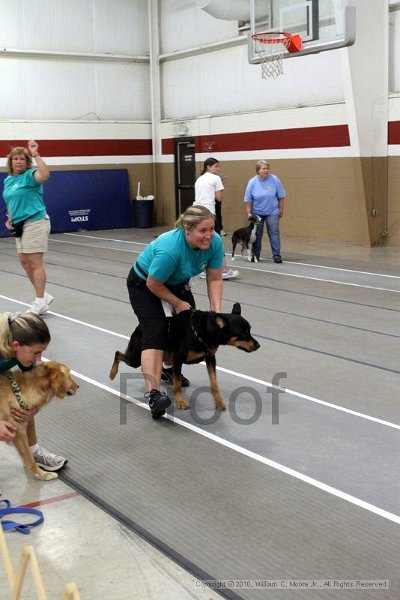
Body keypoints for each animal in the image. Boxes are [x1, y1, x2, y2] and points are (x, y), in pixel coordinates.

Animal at [109, 304, 260, 412]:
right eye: (243, 333)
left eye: (250, 330)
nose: (258, 345)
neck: (204, 332)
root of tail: (139, 327)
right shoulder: (178, 358)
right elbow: (177, 384)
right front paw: (180, 402)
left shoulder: (210, 358)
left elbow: (214, 383)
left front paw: (219, 401)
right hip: (135, 356)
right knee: (118, 353)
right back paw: (112, 373)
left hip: (163, 353)